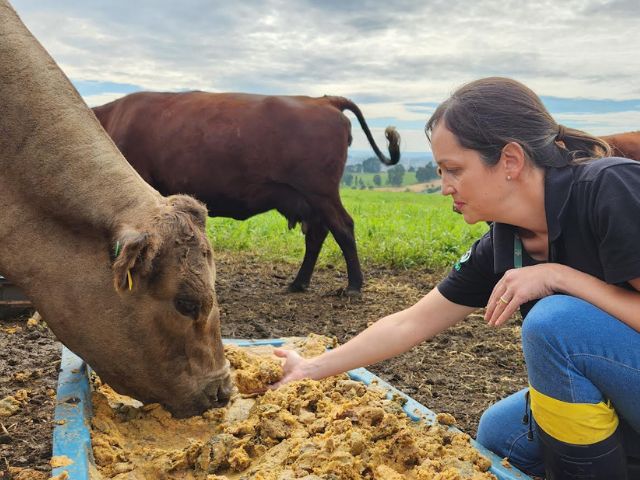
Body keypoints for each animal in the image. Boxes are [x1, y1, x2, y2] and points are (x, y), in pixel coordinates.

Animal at [93, 89, 400, 292]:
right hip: (309, 200)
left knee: (343, 228)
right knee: (318, 234)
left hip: (321, 193)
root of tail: (324, 100)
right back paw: (298, 283)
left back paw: (353, 286)